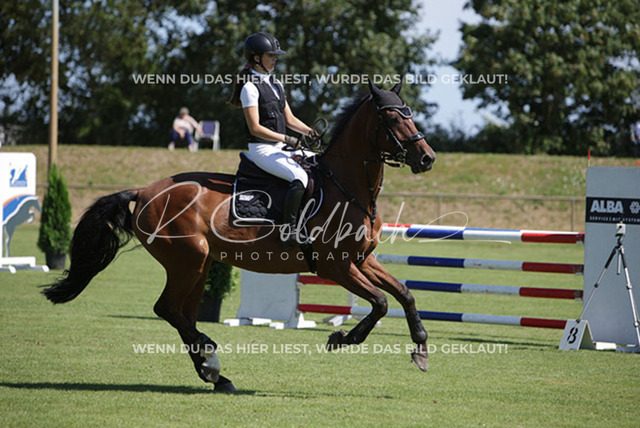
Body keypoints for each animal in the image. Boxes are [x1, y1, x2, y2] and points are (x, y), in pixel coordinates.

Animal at [42, 81, 436, 392]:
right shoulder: (336, 267)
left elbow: (404, 294)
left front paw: (420, 349)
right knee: (167, 309)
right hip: (187, 261)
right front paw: (343, 338)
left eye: (410, 114)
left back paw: (214, 373)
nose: (427, 158)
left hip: (199, 265)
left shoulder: (361, 260)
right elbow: (380, 302)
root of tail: (144, 192)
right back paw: (211, 360)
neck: (347, 186)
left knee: (182, 313)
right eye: (393, 119)